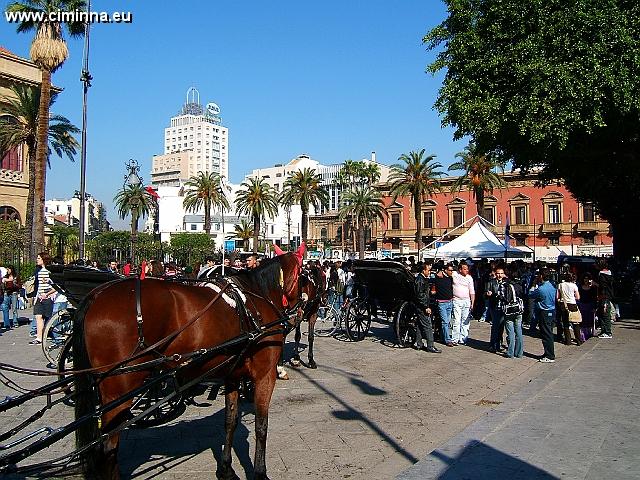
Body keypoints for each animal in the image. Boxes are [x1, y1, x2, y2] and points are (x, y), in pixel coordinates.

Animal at [74, 248, 304, 480]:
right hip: (121, 386)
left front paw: (226, 469)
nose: (301, 311)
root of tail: (96, 295)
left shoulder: (232, 374)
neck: (256, 299)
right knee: (108, 447)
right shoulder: (265, 374)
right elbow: (261, 425)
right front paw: (260, 473)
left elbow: (230, 421)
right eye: (305, 274)